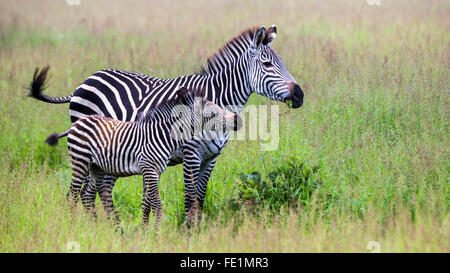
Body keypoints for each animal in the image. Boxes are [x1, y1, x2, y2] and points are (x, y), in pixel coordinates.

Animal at [45, 86, 241, 226]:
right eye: (213, 114)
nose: (238, 120)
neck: (163, 136)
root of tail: (77, 123)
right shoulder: (149, 169)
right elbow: (157, 203)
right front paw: (157, 233)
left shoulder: (154, 171)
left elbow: (148, 202)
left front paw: (147, 231)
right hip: (80, 161)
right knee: (72, 195)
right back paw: (72, 225)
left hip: (96, 167)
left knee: (88, 195)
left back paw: (96, 227)